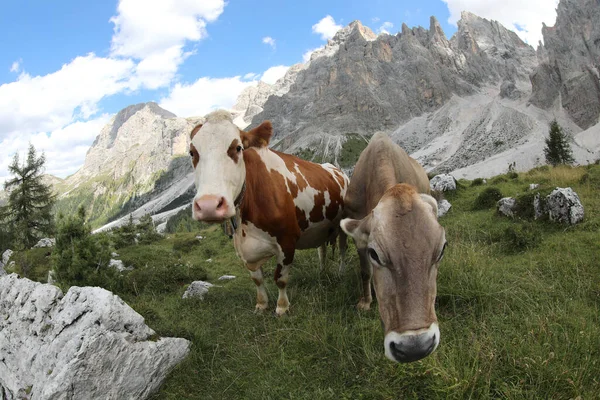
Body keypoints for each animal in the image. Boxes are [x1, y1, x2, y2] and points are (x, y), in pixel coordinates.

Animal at [188, 110, 346, 316]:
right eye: (192, 152)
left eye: (238, 148)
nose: (209, 205)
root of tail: (334, 168)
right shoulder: (245, 249)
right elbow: (257, 279)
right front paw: (261, 304)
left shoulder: (287, 241)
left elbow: (280, 278)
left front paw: (282, 307)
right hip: (321, 228)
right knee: (322, 250)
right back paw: (321, 271)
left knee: (342, 249)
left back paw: (340, 272)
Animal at [338, 133, 446, 364]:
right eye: (374, 254)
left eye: (442, 249)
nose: (415, 348)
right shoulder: (360, 239)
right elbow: (365, 271)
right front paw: (365, 302)